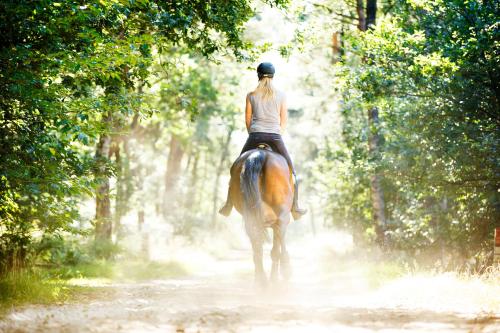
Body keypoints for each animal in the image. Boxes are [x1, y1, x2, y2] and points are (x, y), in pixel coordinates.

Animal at [227, 147, 292, 286]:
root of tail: (259, 153)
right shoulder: (279, 219)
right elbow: (276, 247)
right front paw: (276, 277)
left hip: (251, 218)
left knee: (257, 248)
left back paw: (261, 281)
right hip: (282, 216)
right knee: (278, 239)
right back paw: (284, 270)